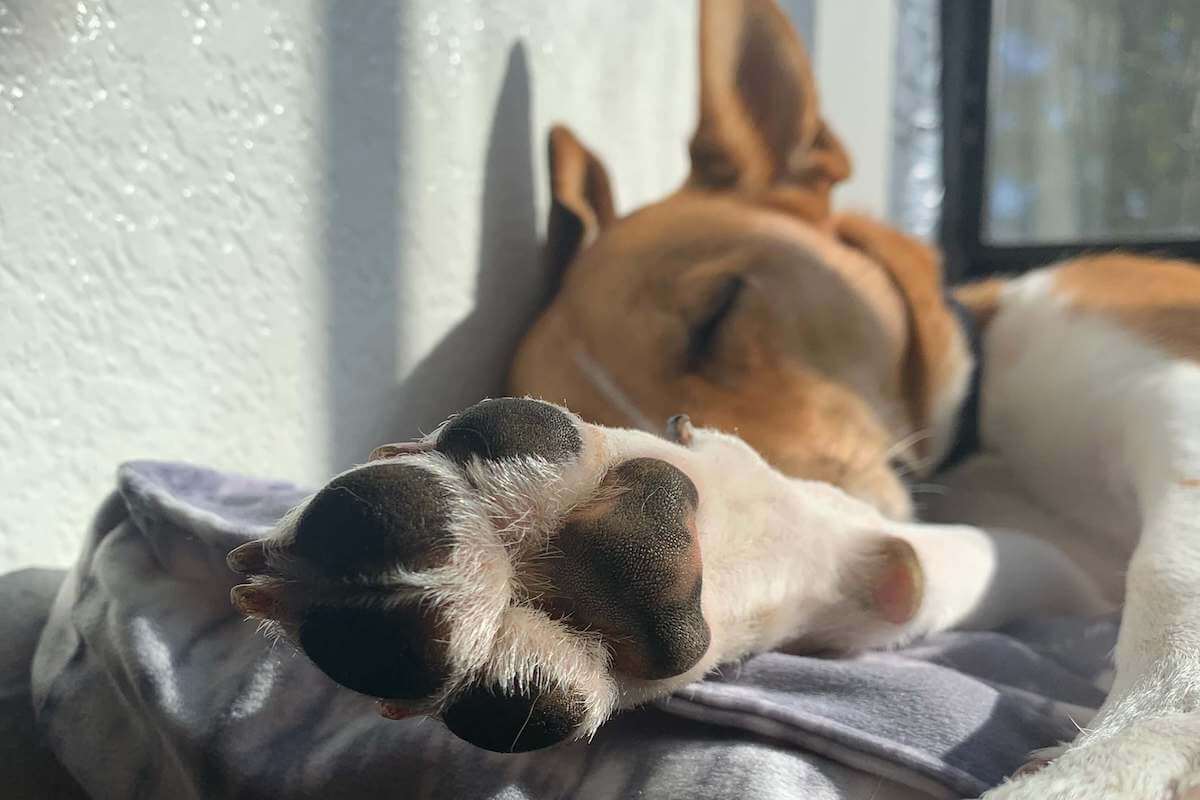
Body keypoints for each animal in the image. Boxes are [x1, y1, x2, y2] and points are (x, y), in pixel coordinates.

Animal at [229, 3, 1200, 796]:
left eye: (720, 311)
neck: (980, 433)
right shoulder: (1058, 563)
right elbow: (917, 561)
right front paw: (679, 546)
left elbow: (1168, 577)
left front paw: (1121, 760)